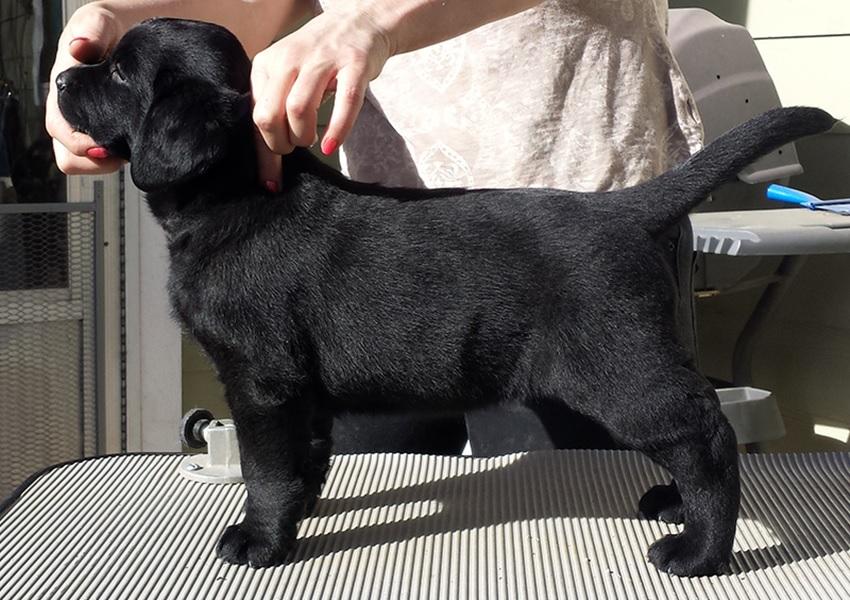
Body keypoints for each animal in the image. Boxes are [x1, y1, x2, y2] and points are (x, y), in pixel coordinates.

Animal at [56, 16, 832, 576]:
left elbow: (265, 466)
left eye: (120, 71)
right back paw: (675, 506)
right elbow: (305, 456)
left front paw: (260, 539)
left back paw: (701, 550)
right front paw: (301, 511)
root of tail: (623, 209)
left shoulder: (261, 379)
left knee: (703, 431)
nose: (63, 72)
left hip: (622, 368)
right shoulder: (300, 389)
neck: (237, 191)